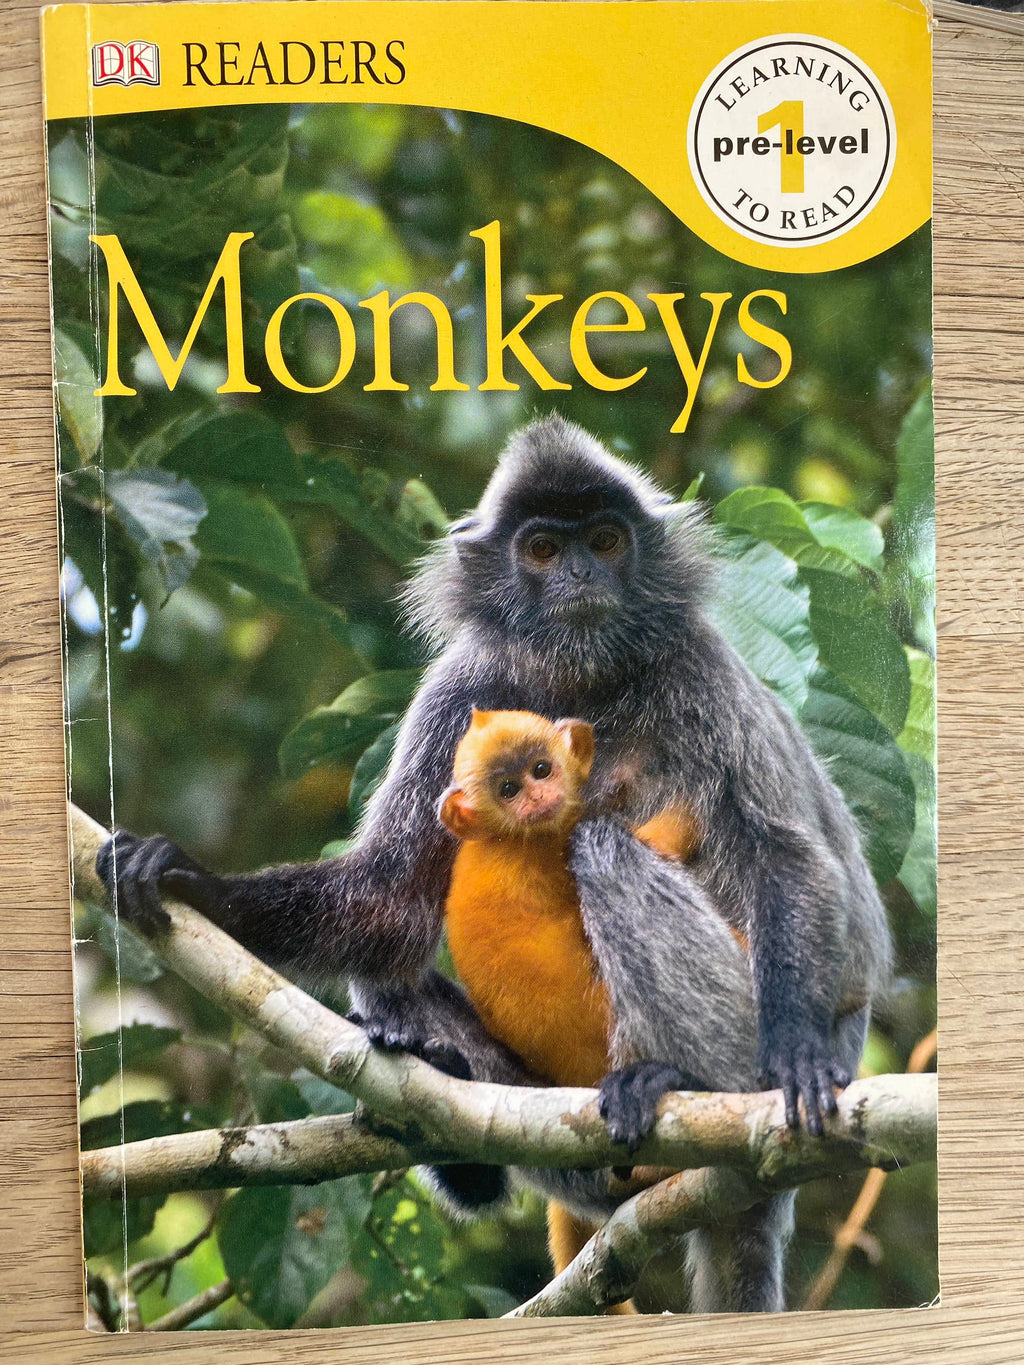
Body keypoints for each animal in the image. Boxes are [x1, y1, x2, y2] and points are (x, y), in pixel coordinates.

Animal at [97, 414, 891, 1311]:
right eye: (542, 549)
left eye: (606, 540)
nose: (580, 572)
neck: (585, 677)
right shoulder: (462, 687)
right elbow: (390, 895)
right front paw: (192, 881)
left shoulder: (703, 667)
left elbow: (786, 853)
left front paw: (798, 1055)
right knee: (392, 970)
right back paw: (439, 1096)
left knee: (607, 847)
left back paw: (678, 1079)